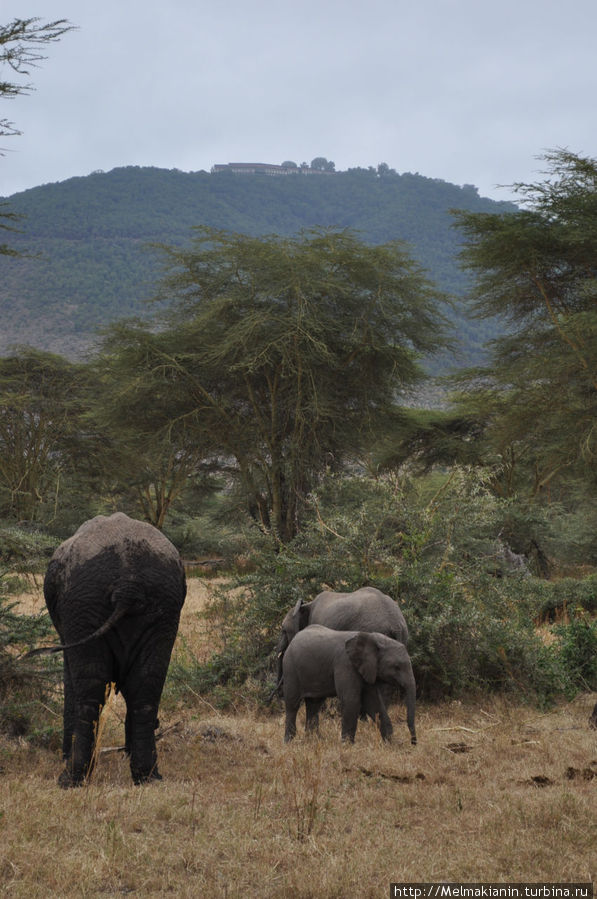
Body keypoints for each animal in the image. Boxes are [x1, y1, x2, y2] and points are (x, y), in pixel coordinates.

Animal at [39, 512, 185, 788]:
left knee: (89, 689)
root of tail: (128, 584)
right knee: (146, 686)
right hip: (163, 607)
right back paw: (149, 777)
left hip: (83, 603)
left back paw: (71, 779)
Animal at [282, 624, 414, 744]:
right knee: (293, 704)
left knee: (314, 704)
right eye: (397, 667)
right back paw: (289, 741)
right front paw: (347, 745)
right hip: (290, 668)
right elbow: (352, 700)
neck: (372, 638)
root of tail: (294, 638)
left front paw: (392, 743)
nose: (413, 742)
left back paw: (315, 740)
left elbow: (373, 702)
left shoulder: (367, 668)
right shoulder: (345, 664)